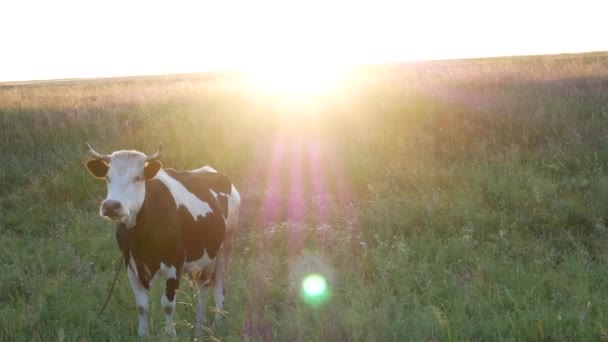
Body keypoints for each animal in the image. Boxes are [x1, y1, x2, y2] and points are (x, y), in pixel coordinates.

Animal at [84, 142, 241, 336]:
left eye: (138, 177)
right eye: (107, 177)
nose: (111, 206)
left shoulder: (174, 264)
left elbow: (167, 305)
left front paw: (170, 335)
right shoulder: (131, 264)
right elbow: (141, 305)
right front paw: (142, 334)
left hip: (226, 247)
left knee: (219, 290)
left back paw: (216, 325)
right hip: (203, 260)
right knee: (203, 289)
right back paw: (199, 329)